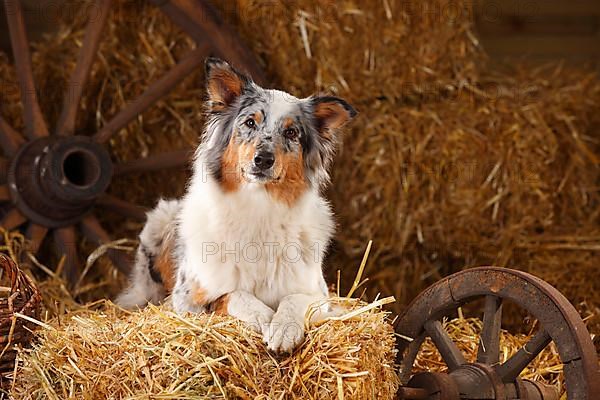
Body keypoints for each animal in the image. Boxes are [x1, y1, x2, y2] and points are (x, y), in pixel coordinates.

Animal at [116, 57, 356, 352]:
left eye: (291, 132)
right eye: (250, 122)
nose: (263, 159)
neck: (258, 207)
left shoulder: (320, 295)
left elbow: (296, 299)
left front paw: (283, 327)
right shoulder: (186, 299)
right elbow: (234, 294)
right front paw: (265, 318)